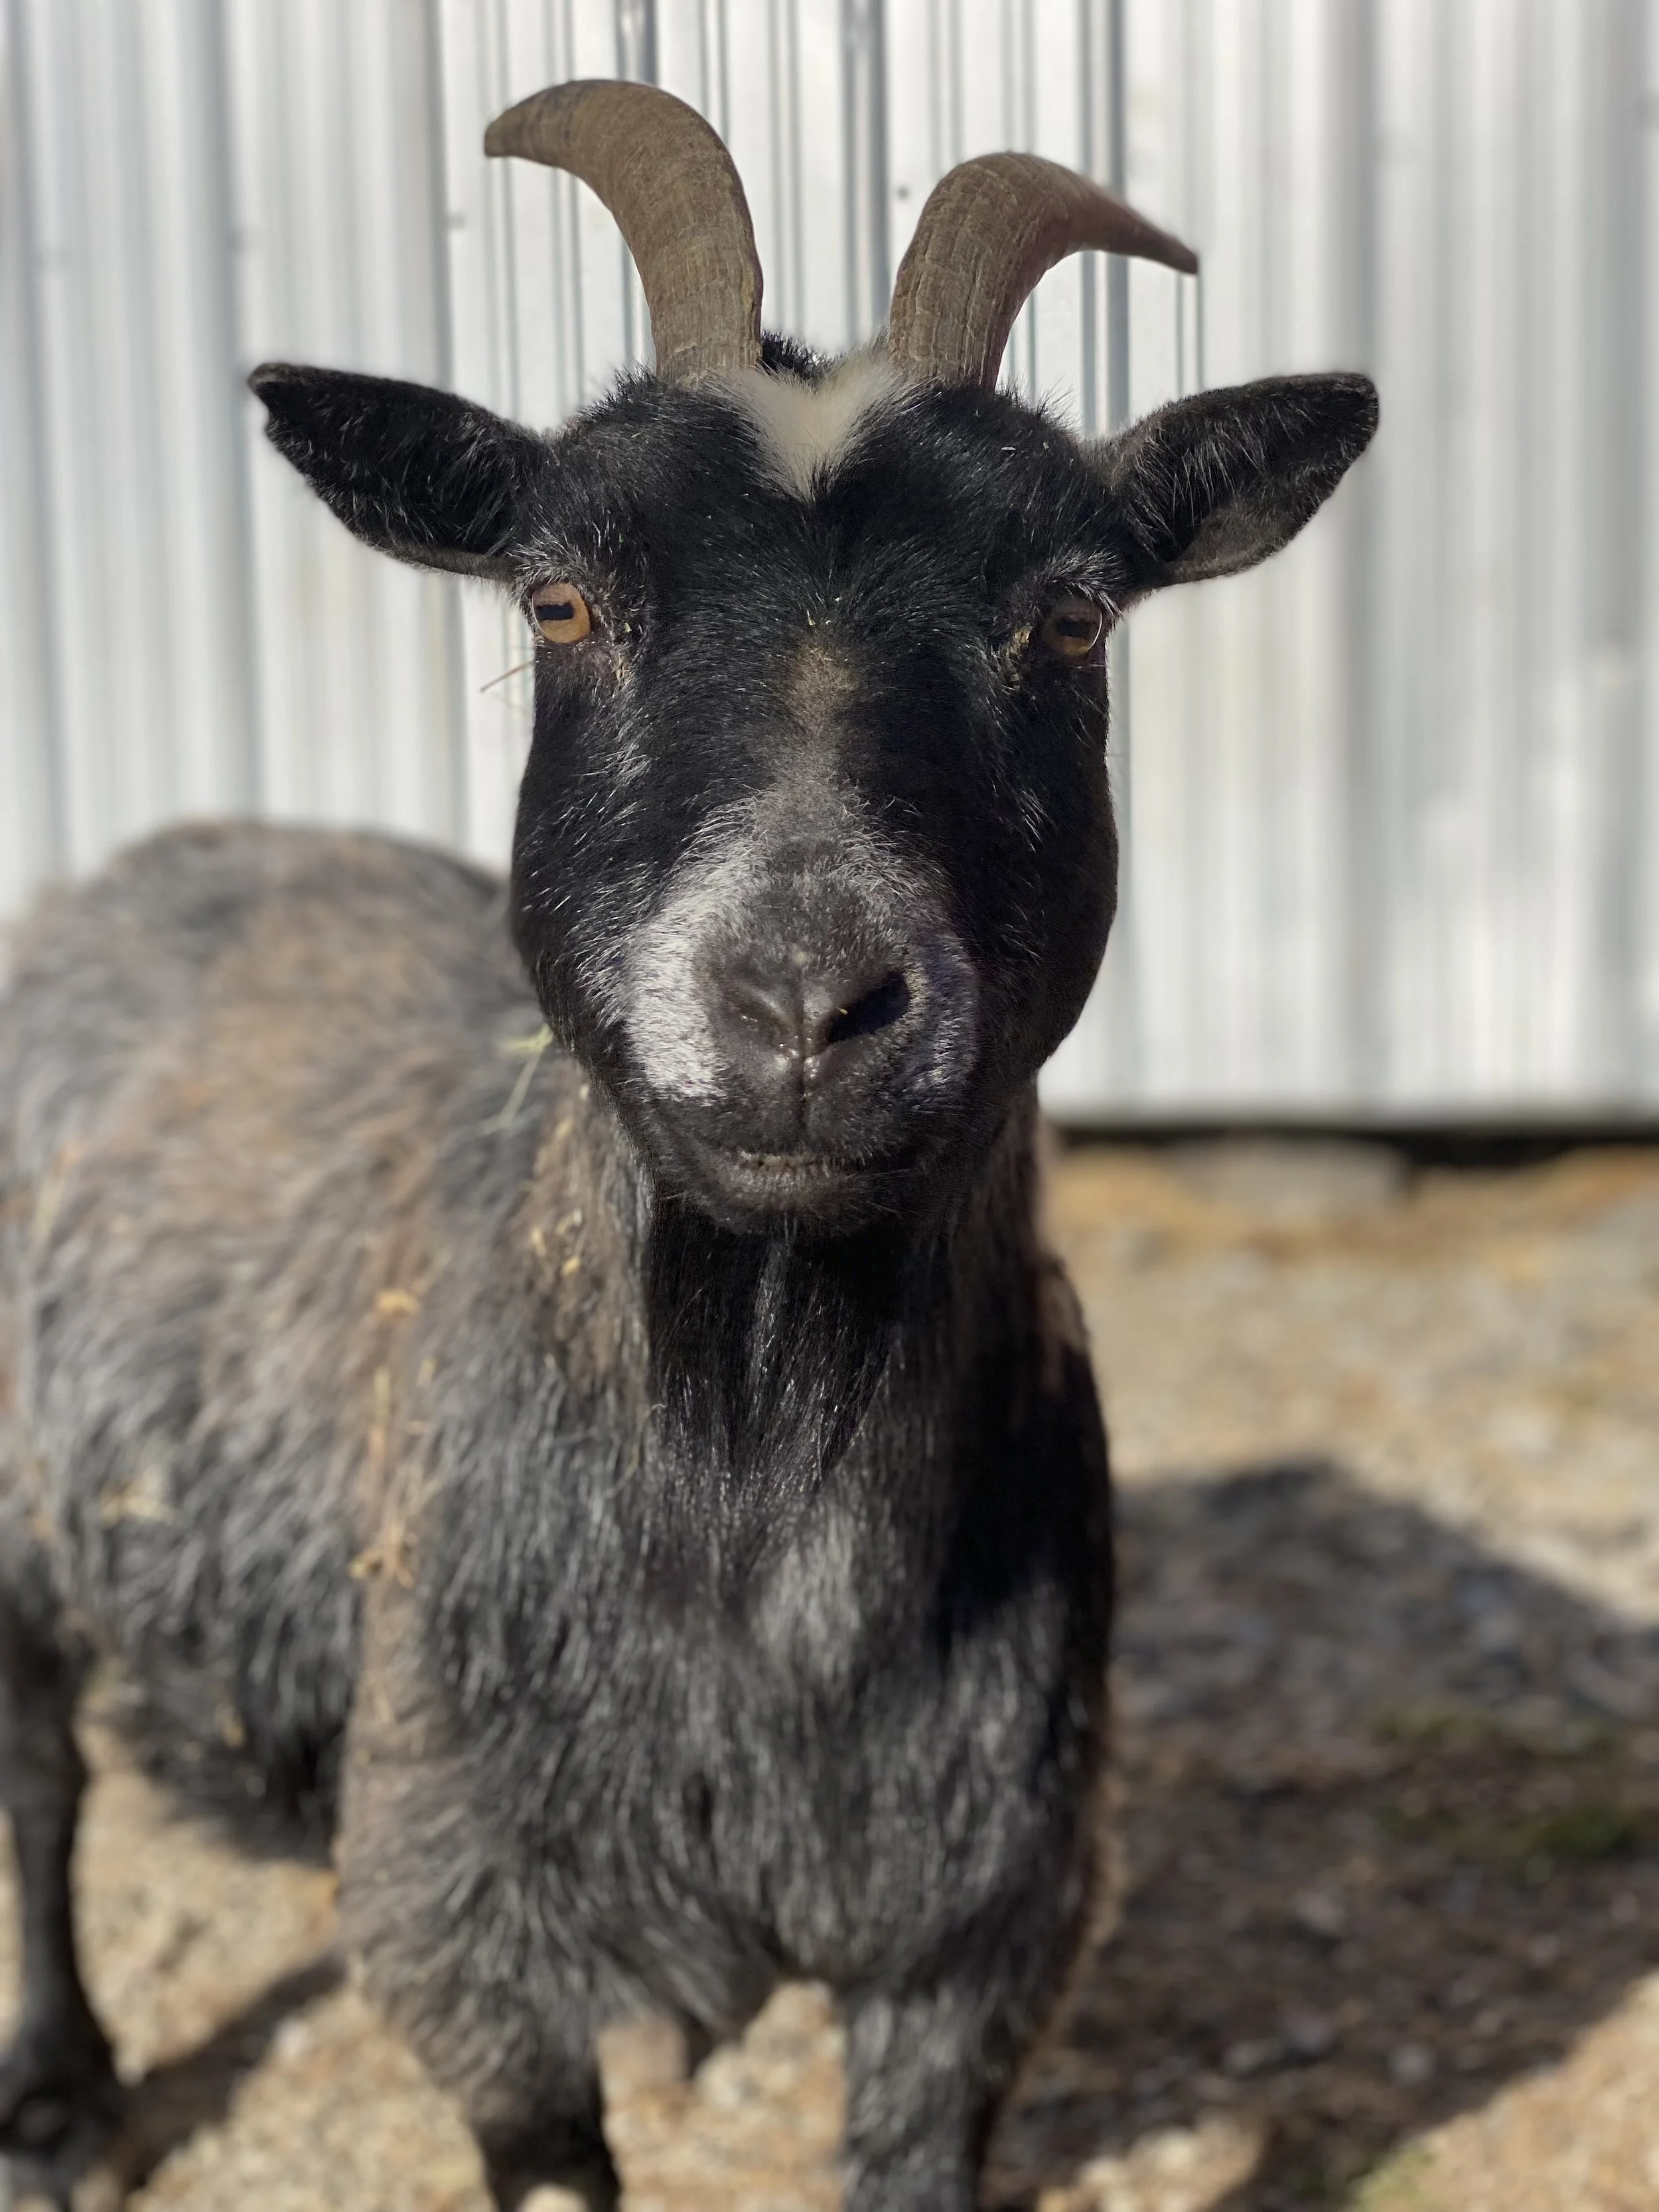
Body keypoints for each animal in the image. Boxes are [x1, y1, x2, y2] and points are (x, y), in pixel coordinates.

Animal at [0, 80, 1375, 2212]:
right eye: (559, 598)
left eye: (1070, 615)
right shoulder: (470, 1925)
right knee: (40, 1780)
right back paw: (64, 2096)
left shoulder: (984, 1932)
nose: (804, 1002)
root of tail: (160, 851)